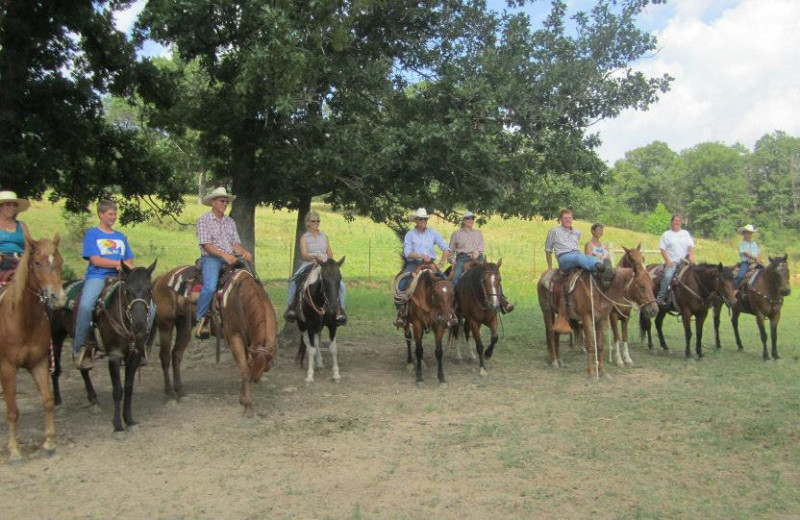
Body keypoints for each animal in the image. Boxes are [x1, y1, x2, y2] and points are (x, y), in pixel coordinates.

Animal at [0, 236, 64, 464]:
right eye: (36, 262)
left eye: (60, 261)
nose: (58, 297)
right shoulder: (7, 367)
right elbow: (12, 410)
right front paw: (14, 451)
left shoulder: (39, 362)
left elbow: (47, 400)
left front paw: (50, 443)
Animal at [219, 266, 278, 416]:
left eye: (264, 367)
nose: (255, 378)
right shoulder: (235, 337)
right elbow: (244, 369)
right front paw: (247, 405)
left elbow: (244, 366)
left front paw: (243, 399)